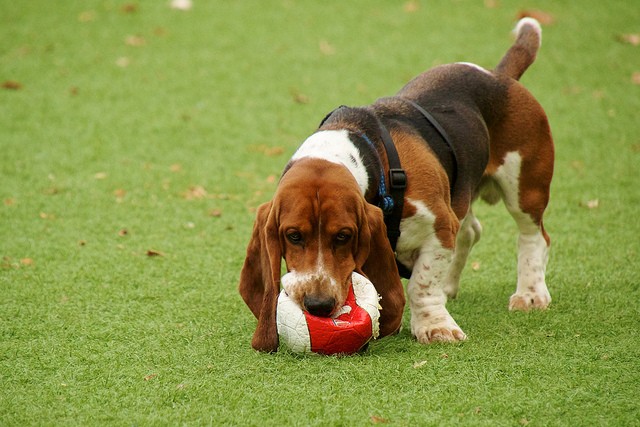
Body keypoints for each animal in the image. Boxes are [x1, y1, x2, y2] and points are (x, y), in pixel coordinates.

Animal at [240, 18, 556, 352]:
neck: (372, 160)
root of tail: (500, 75)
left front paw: (434, 326)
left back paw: (530, 293)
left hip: (525, 188)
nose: (318, 305)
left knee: (533, 236)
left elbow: (421, 284)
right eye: (293, 236)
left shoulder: (440, 226)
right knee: (471, 230)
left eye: (343, 236)